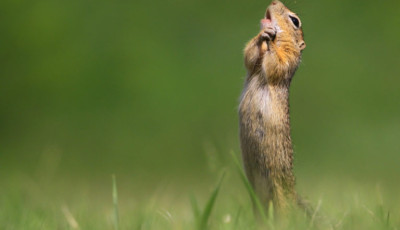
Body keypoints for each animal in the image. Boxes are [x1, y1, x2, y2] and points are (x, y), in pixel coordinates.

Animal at [238, 0, 306, 213]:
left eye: (295, 21)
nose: (274, 1)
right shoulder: (253, 64)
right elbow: (250, 56)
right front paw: (263, 35)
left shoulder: (288, 59)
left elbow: (276, 63)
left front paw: (270, 37)